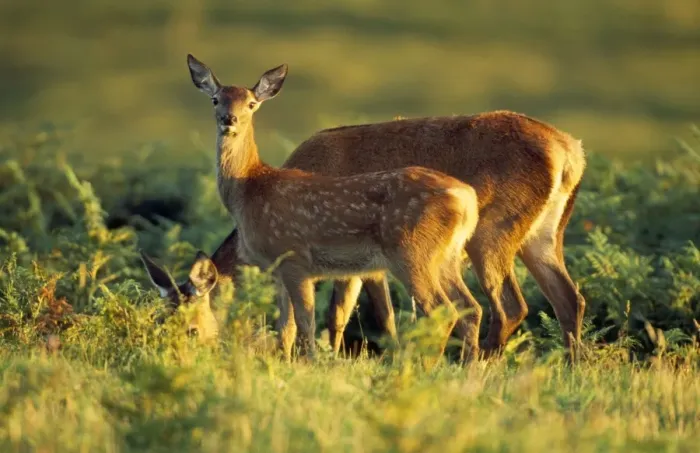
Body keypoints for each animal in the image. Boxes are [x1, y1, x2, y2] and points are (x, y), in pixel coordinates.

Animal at [144, 56, 587, 360]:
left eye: (191, 327)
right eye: (161, 318)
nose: (175, 353)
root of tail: (570, 150)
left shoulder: (342, 261)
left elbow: (347, 317)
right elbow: (348, 318)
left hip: (489, 233)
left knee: (507, 306)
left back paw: (484, 365)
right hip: (543, 234)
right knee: (568, 298)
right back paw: (571, 368)